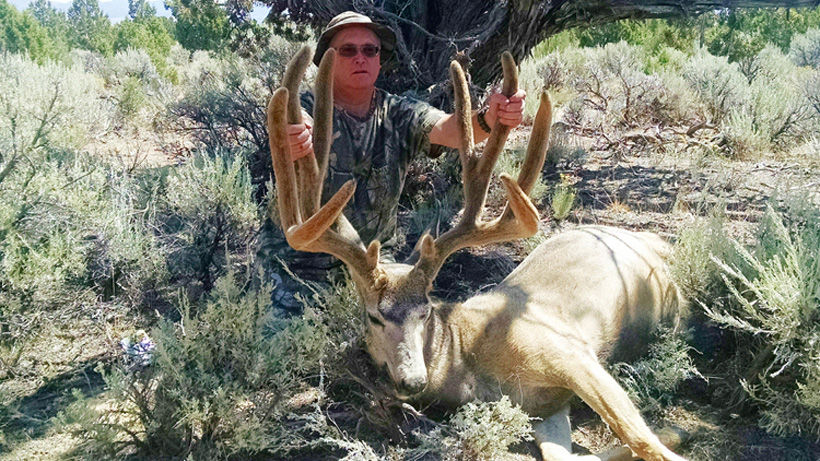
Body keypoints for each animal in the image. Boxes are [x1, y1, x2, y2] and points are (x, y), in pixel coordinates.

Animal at [268, 45, 684, 458]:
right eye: (374, 317)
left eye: (425, 312)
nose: (413, 380)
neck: (473, 366)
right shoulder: (545, 406)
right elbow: (565, 453)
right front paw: (671, 432)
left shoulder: (569, 351)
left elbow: (640, 437)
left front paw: (672, 433)